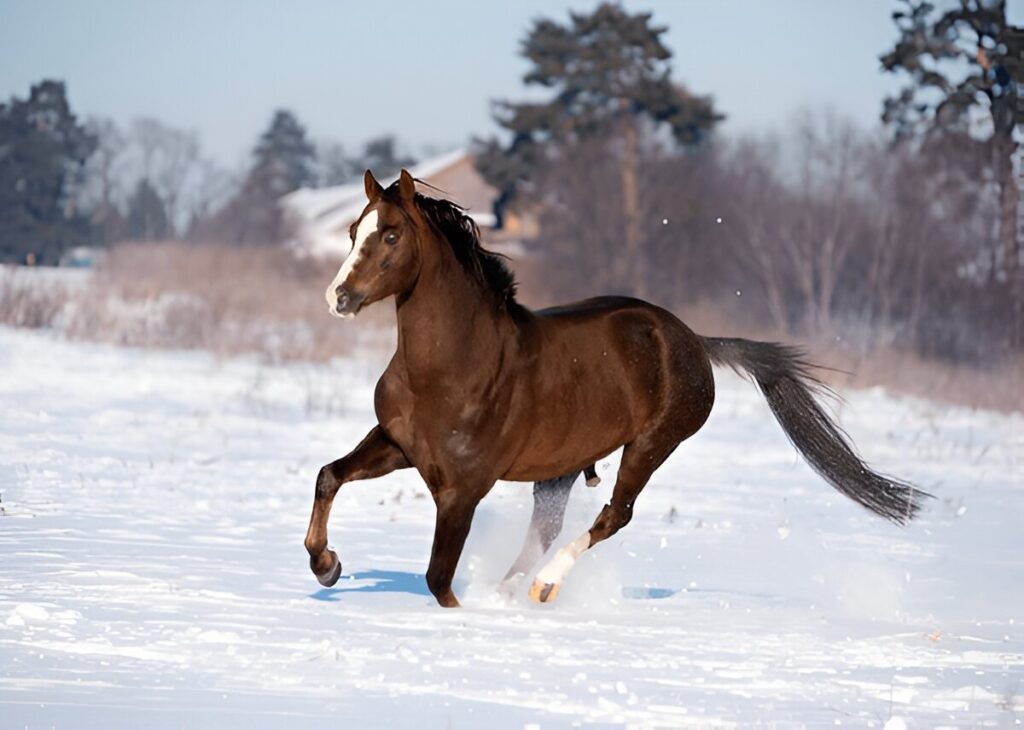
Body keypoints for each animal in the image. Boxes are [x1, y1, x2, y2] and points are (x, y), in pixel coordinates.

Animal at [301, 167, 929, 606]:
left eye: (389, 235)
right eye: (354, 230)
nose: (338, 297)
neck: (451, 367)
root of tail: (692, 340)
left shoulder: (463, 488)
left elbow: (439, 581)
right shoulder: (399, 444)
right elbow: (329, 475)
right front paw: (327, 566)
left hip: (650, 445)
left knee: (612, 516)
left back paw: (543, 589)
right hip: (559, 465)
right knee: (547, 529)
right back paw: (511, 593)